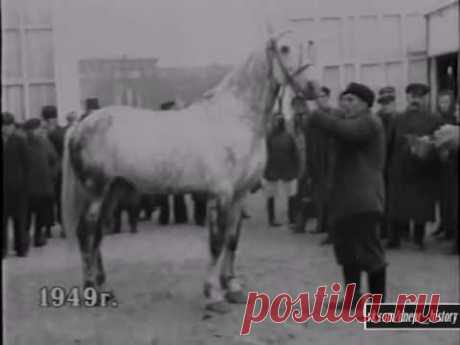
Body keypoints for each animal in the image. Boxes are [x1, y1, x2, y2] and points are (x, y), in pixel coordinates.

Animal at [62, 31, 316, 312]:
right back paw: (91, 290)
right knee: (85, 233)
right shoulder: (221, 194)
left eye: (309, 45)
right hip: (95, 192)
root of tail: (80, 125)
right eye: (284, 48)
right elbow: (216, 242)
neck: (234, 118)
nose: (315, 88)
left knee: (96, 235)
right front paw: (214, 295)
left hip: (113, 191)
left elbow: (232, 239)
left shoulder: (240, 195)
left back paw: (103, 287)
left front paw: (233, 287)